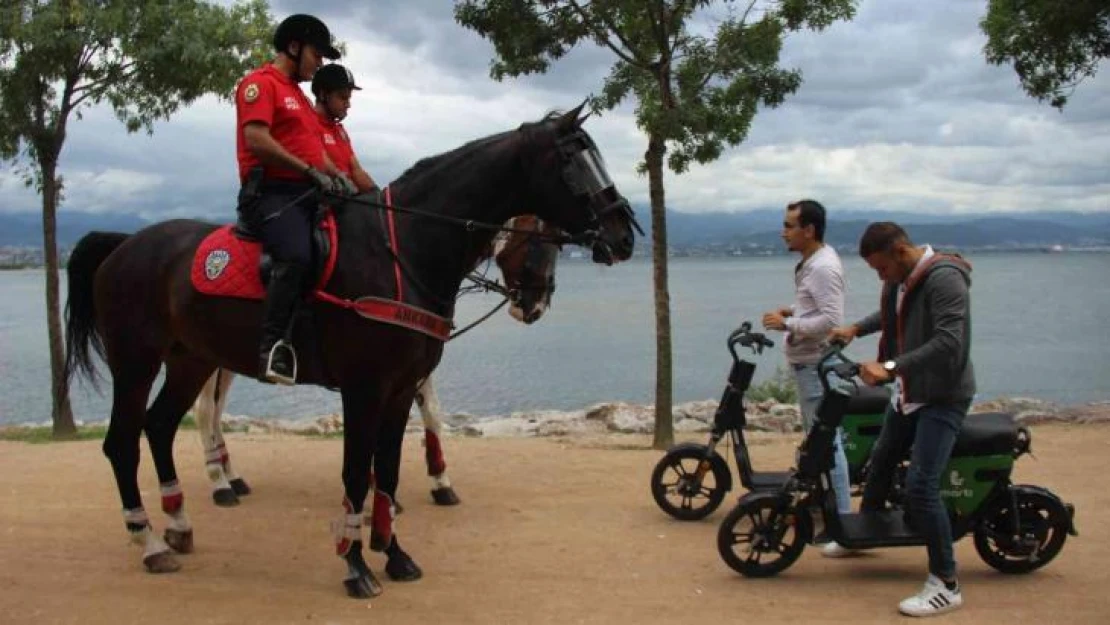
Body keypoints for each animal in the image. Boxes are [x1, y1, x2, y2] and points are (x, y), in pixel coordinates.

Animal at [64, 106, 639, 595]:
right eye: (572, 161)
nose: (624, 236)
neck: (404, 248)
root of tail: (124, 244)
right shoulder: (364, 389)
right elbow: (357, 470)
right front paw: (356, 562)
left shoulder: (401, 386)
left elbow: (390, 465)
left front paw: (395, 549)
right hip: (138, 361)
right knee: (125, 441)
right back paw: (151, 537)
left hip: (191, 358)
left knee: (160, 427)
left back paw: (180, 521)